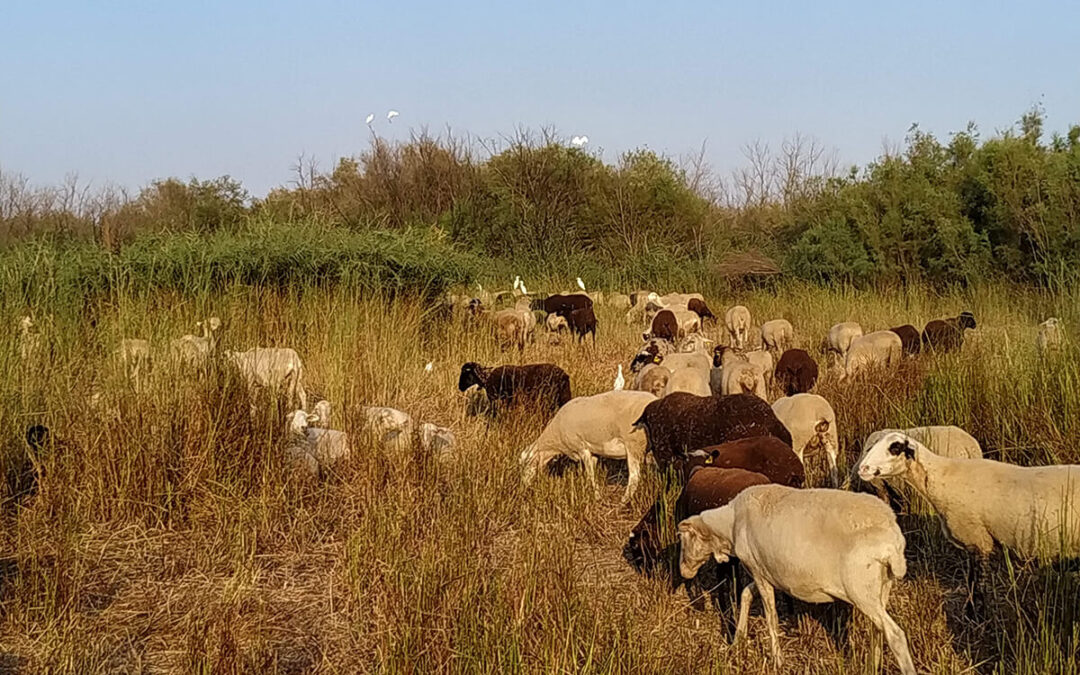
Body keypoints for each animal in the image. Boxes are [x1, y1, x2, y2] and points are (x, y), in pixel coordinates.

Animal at [520, 390, 657, 504]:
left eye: (527, 464)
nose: (524, 487)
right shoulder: (593, 451)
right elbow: (592, 472)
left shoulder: (581, 447)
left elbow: (590, 474)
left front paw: (596, 496)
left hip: (634, 444)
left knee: (634, 476)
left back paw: (624, 500)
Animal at [678, 485, 915, 675]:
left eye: (684, 540)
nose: (683, 572)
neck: (731, 524)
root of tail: (893, 539)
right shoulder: (764, 571)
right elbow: (746, 594)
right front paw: (738, 641)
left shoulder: (758, 571)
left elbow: (771, 617)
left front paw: (777, 660)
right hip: (881, 587)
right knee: (879, 629)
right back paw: (871, 666)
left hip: (860, 590)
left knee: (895, 635)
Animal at [857, 432, 1080, 607]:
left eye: (894, 448)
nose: (863, 469)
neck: (943, 478)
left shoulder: (978, 540)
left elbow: (976, 585)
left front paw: (975, 615)